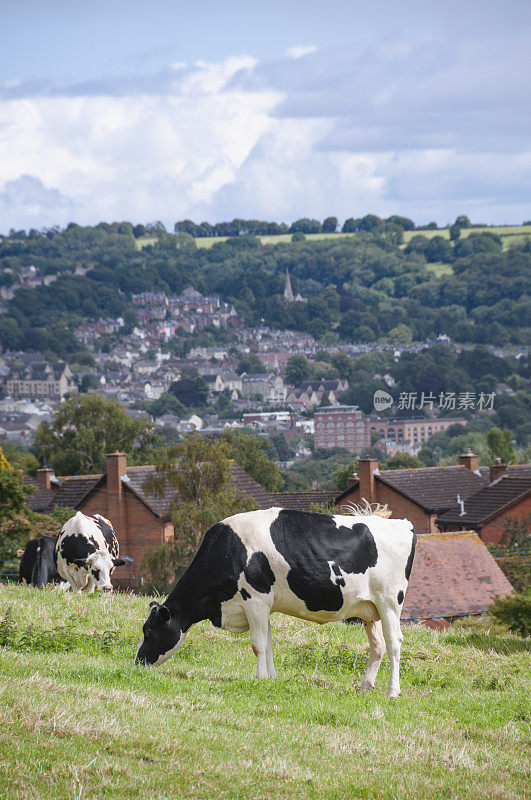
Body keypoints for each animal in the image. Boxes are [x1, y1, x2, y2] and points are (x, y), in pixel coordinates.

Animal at [135, 510, 418, 696]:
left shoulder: (255, 598)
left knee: (394, 644)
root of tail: (402, 524)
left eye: (149, 631)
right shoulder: (263, 606)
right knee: (378, 645)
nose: (137, 663)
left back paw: (393, 691)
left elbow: (258, 644)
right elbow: (268, 643)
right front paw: (271, 678)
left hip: (390, 602)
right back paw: (366, 686)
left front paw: (260, 678)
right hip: (369, 609)